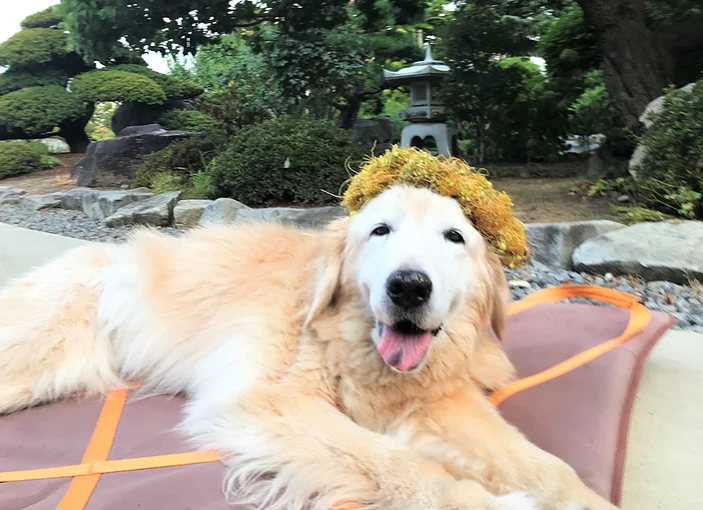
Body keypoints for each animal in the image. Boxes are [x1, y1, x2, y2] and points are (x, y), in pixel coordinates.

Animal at [0, 184, 617, 510]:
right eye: (380, 230)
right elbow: (401, 464)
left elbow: (547, 467)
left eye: (455, 237)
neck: (352, 347)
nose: (409, 287)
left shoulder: (441, 402)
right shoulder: (272, 403)